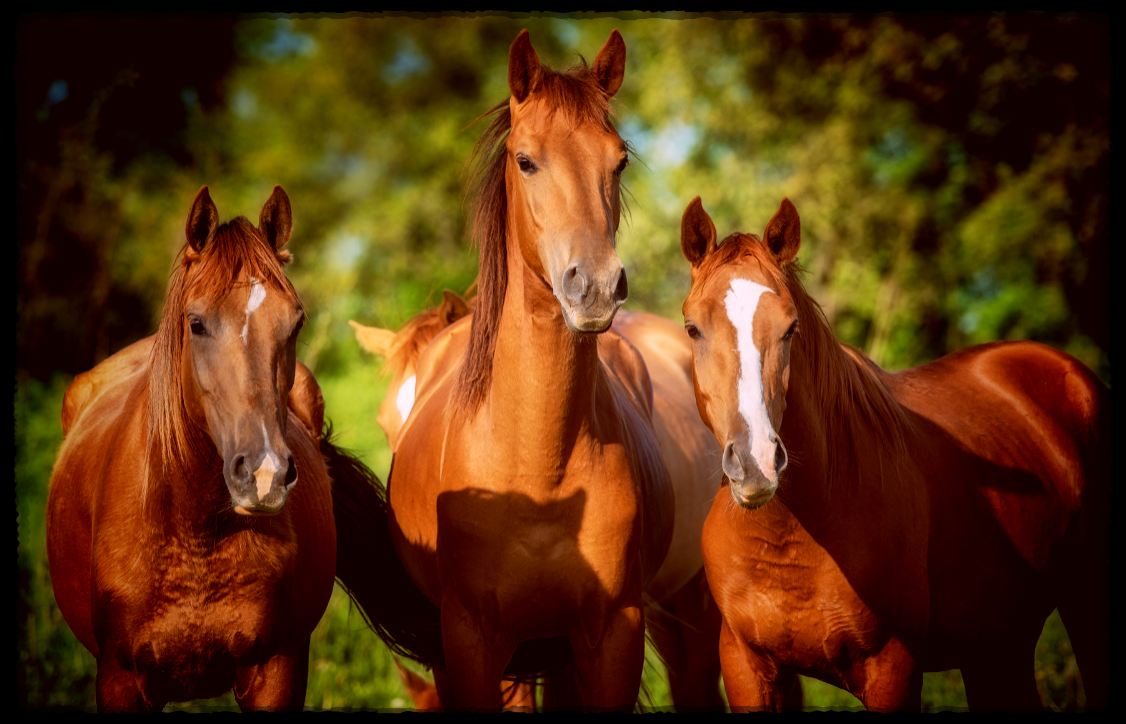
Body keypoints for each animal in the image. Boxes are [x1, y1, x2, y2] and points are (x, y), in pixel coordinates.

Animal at [382, 31, 675, 711]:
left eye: (620, 161)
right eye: (525, 160)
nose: (595, 286)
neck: (541, 471)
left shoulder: (613, 632)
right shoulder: (471, 640)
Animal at [675, 195, 1107, 711]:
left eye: (791, 328)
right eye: (693, 329)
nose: (755, 463)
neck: (790, 538)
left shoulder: (892, 668)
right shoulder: (745, 666)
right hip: (998, 648)